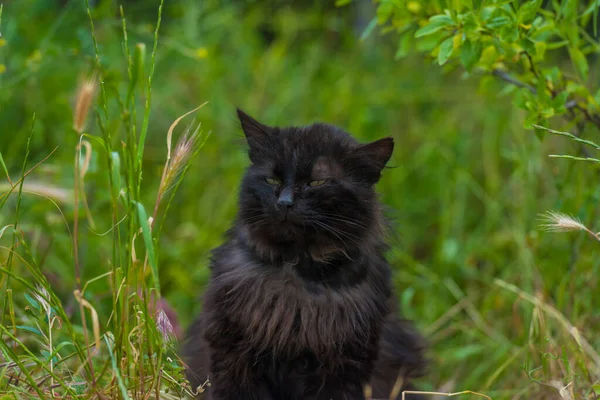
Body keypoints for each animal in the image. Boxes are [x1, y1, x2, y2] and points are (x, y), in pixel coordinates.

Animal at [183, 110, 426, 400]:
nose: (285, 203)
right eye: (272, 180)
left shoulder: (344, 366)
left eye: (317, 182)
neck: (295, 276)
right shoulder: (231, 353)